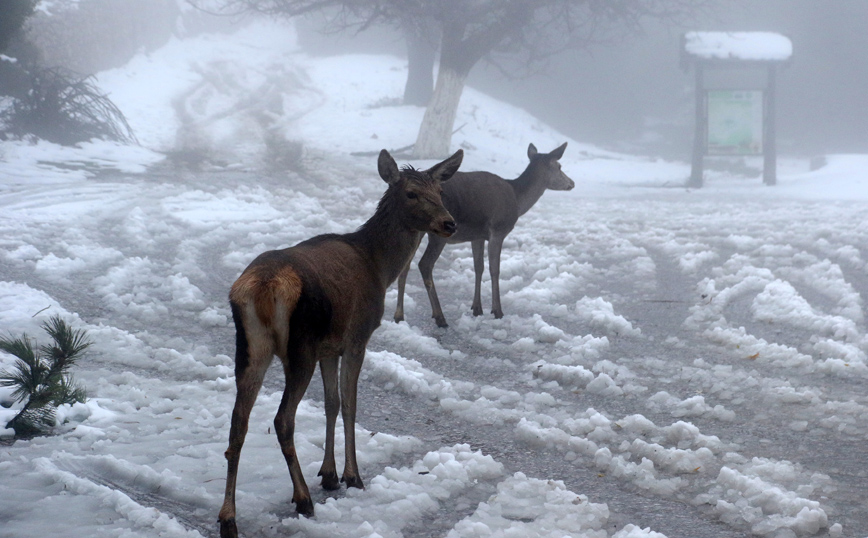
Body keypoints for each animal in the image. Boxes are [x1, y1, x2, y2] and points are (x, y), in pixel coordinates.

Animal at [217, 148, 462, 536]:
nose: (449, 223)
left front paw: (329, 473)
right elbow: (350, 404)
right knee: (283, 419)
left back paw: (228, 517)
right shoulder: (357, 336)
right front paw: (352, 476)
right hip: (298, 348)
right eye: (411, 193)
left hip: (251, 348)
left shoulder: (328, 348)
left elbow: (331, 403)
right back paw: (302, 498)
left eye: (440, 192)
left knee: (237, 424)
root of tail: (263, 287)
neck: (379, 266)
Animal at [396, 141, 572, 326]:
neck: (517, 200)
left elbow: (478, 267)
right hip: (438, 231)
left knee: (405, 265)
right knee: (425, 264)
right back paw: (439, 316)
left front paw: (476, 308)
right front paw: (497, 310)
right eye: (559, 166)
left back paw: (399, 316)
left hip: (417, 230)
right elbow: (494, 269)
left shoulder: (478, 236)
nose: (571, 183)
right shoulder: (498, 230)